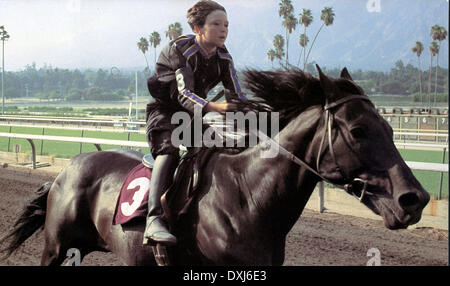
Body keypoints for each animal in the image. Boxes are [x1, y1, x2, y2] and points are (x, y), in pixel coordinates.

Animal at [0, 66, 428, 264]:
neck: (248, 197)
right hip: (56, 247)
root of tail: (66, 170)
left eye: (390, 127)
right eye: (358, 130)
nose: (415, 199)